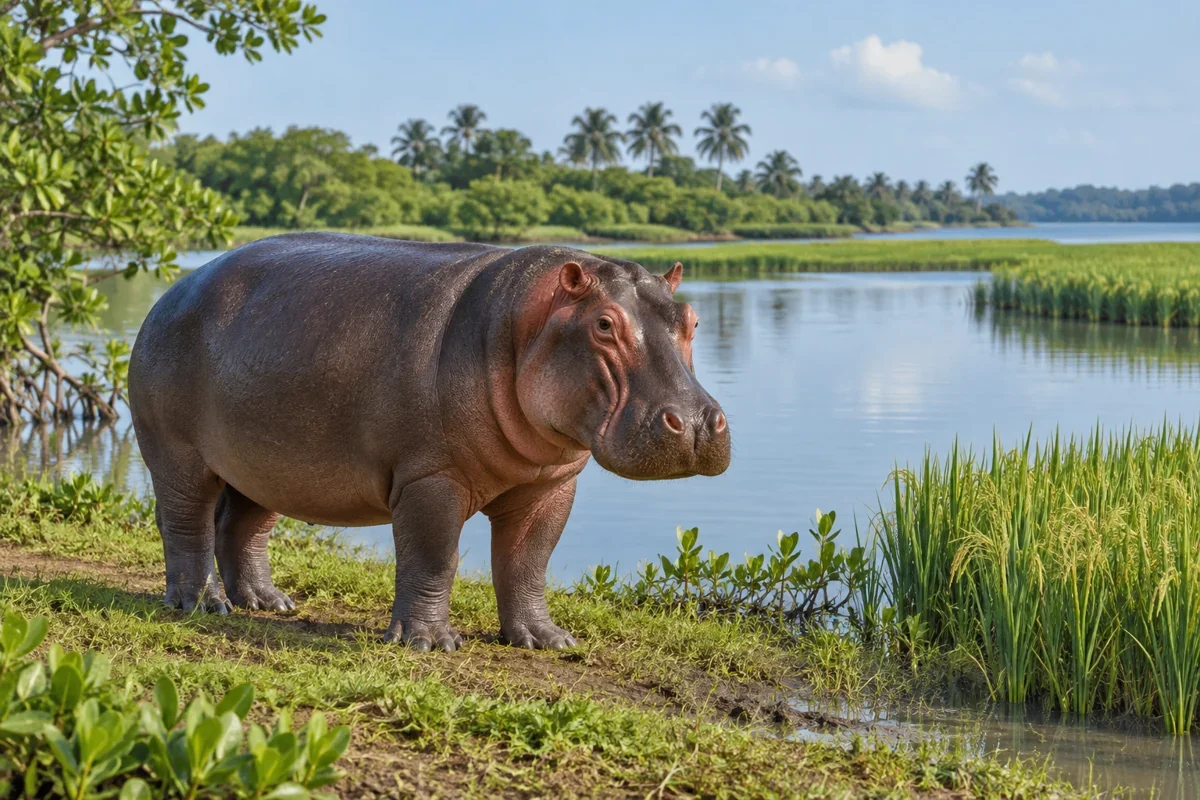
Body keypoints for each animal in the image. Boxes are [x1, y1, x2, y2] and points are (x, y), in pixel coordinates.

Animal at [129, 233, 730, 651]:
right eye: (604, 324)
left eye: (693, 319)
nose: (698, 423)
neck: (527, 321)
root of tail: (169, 292)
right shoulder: (430, 477)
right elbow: (433, 555)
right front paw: (429, 643)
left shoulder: (552, 486)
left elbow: (528, 561)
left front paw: (548, 641)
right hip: (180, 456)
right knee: (186, 522)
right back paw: (201, 606)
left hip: (264, 461)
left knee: (243, 526)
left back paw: (269, 603)